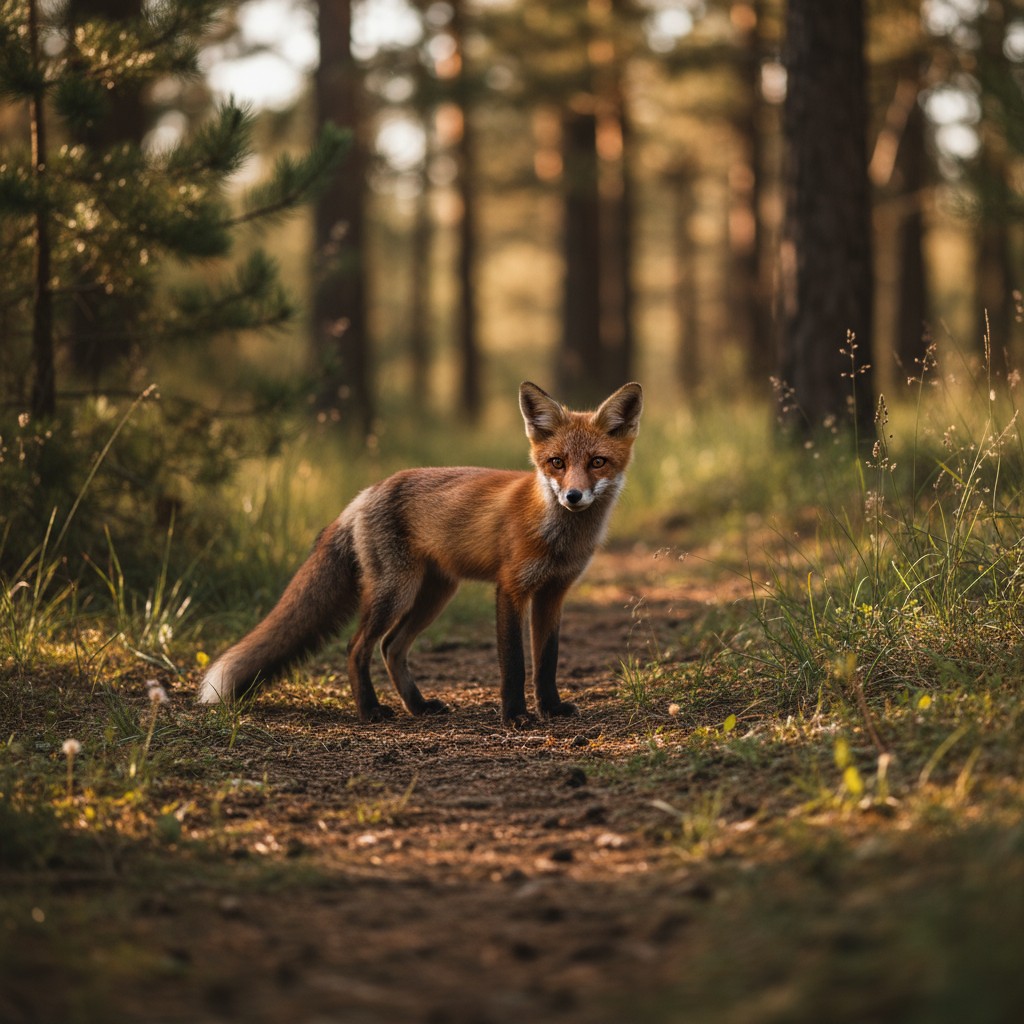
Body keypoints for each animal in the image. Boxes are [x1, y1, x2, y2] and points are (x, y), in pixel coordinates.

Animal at [198, 380, 643, 727]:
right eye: (557, 462)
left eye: (597, 462)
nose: (573, 496)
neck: (558, 536)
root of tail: (365, 493)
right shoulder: (511, 590)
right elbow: (515, 663)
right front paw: (516, 715)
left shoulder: (553, 593)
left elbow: (547, 660)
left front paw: (550, 708)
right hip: (396, 592)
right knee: (357, 646)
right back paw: (371, 710)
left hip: (434, 595)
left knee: (391, 648)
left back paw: (418, 705)